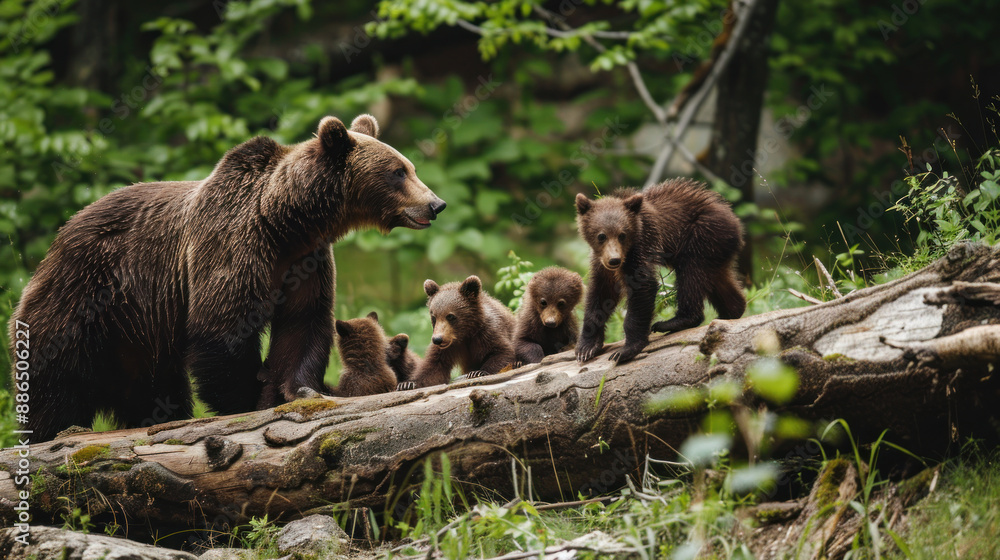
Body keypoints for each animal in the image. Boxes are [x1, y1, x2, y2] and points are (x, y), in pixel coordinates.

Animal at [9, 114, 446, 440]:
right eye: (397, 172)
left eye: (410, 167)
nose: (436, 204)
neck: (285, 222)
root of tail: (60, 237)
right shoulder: (232, 247)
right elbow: (223, 329)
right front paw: (248, 402)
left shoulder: (306, 261)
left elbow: (303, 324)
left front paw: (296, 389)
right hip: (86, 298)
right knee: (54, 383)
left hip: (140, 334)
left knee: (152, 387)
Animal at [574, 177, 745, 365]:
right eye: (601, 235)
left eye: (622, 235)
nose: (614, 260)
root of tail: (734, 219)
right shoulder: (601, 265)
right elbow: (600, 295)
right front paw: (586, 347)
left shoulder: (642, 245)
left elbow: (643, 285)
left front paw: (625, 349)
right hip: (716, 249)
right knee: (717, 279)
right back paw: (732, 311)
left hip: (701, 235)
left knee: (691, 275)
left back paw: (672, 322)